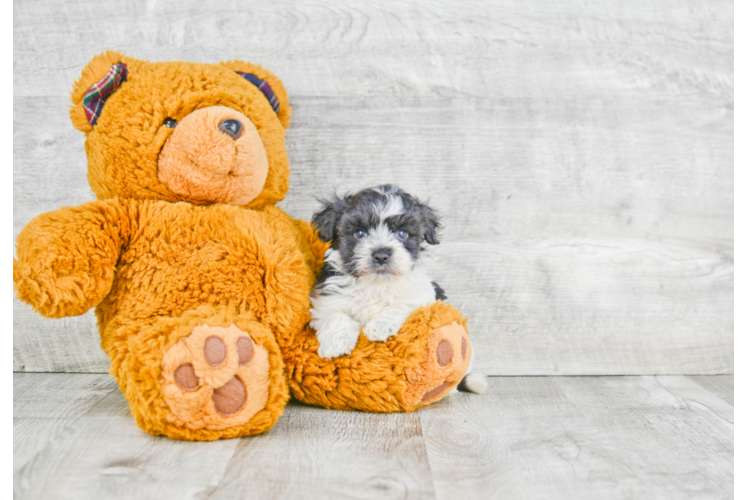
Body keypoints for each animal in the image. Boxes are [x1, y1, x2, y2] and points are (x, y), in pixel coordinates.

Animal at [308, 184, 488, 394]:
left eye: (402, 234)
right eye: (360, 233)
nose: (381, 254)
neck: (376, 283)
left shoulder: (422, 296)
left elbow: (401, 305)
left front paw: (379, 326)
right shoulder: (326, 299)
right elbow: (335, 316)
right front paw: (335, 343)